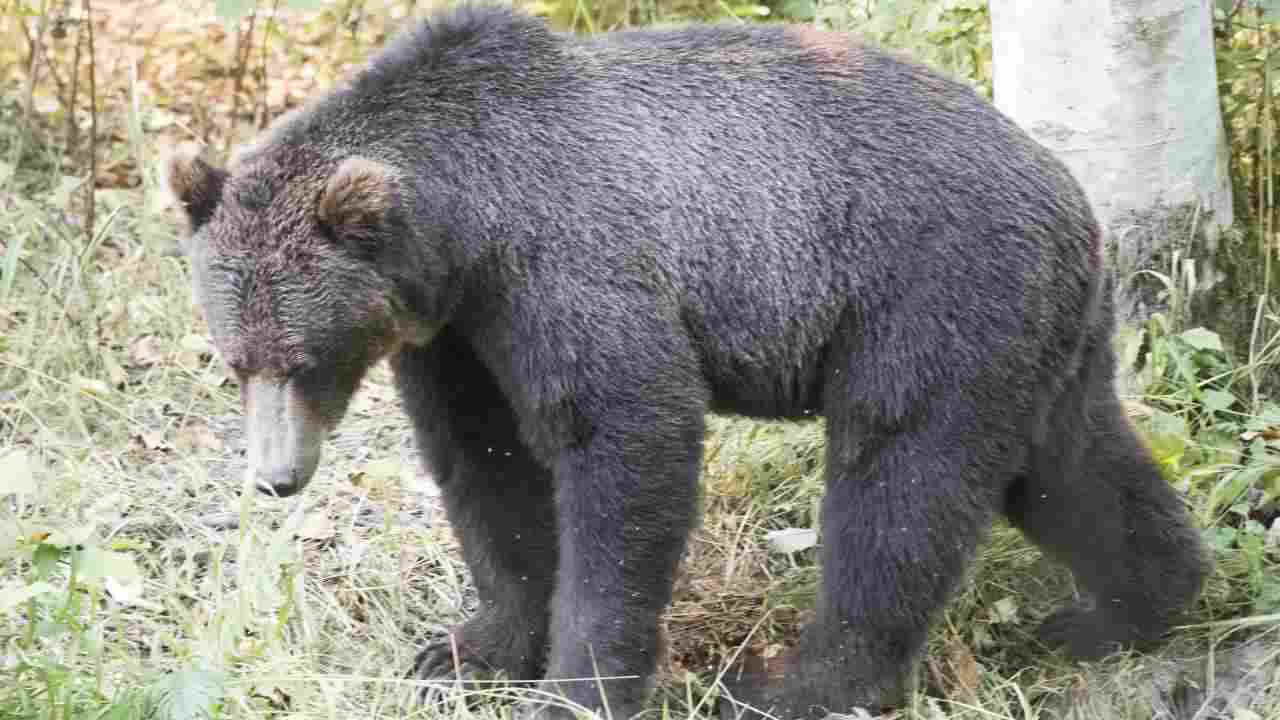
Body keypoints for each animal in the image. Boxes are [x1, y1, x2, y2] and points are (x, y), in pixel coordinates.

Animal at [167, 7, 1208, 717]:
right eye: (235, 361)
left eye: (302, 360)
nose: (273, 477)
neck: (463, 227)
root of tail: (1073, 196)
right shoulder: (458, 334)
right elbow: (485, 468)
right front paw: (467, 648)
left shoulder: (568, 263)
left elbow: (624, 442)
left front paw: (579, 684)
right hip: (1035, 332)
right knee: (1071, 465)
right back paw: (1126, 610)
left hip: (929, 297)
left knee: (899, 486)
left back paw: (799, 684)